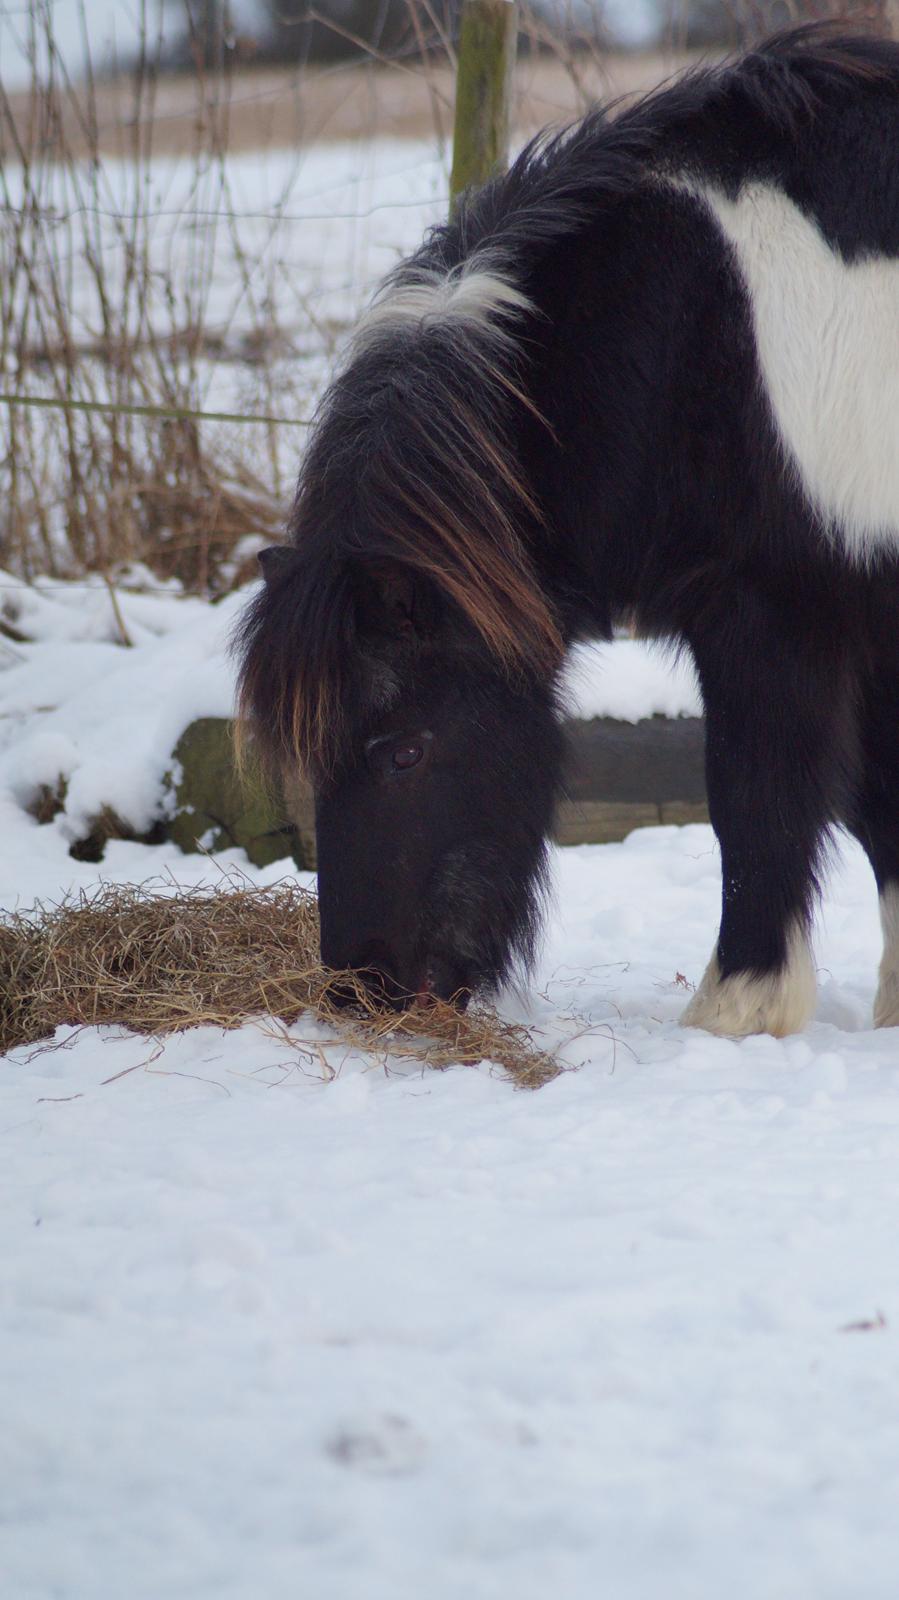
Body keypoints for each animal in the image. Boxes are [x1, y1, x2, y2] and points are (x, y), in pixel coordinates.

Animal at [236, 31, 895, 1043]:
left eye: (405, 752)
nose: (365, 991)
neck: (687, 330)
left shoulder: (778, 608)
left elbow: (757, 800)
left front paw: (735, 1011)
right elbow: (876, 804)